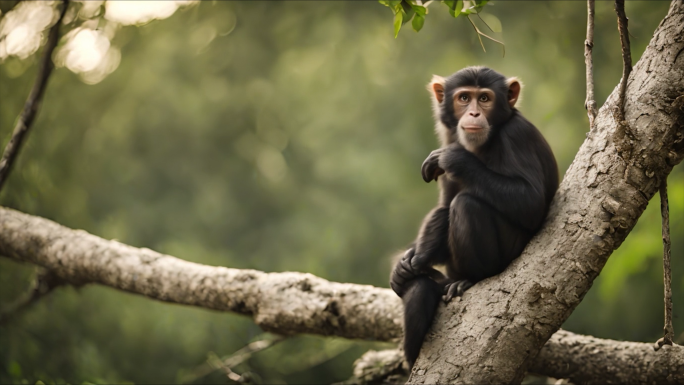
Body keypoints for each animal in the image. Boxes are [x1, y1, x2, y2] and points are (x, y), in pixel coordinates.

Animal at [392, 67, 560, 368]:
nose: (473, 113)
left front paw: (456, 159)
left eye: (484, 98)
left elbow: (529, 201)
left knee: (467, 205)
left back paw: (470, 280)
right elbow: (442, 206)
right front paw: (405, 264)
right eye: (463, 98)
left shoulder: (516, 136)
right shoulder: (450, 135)